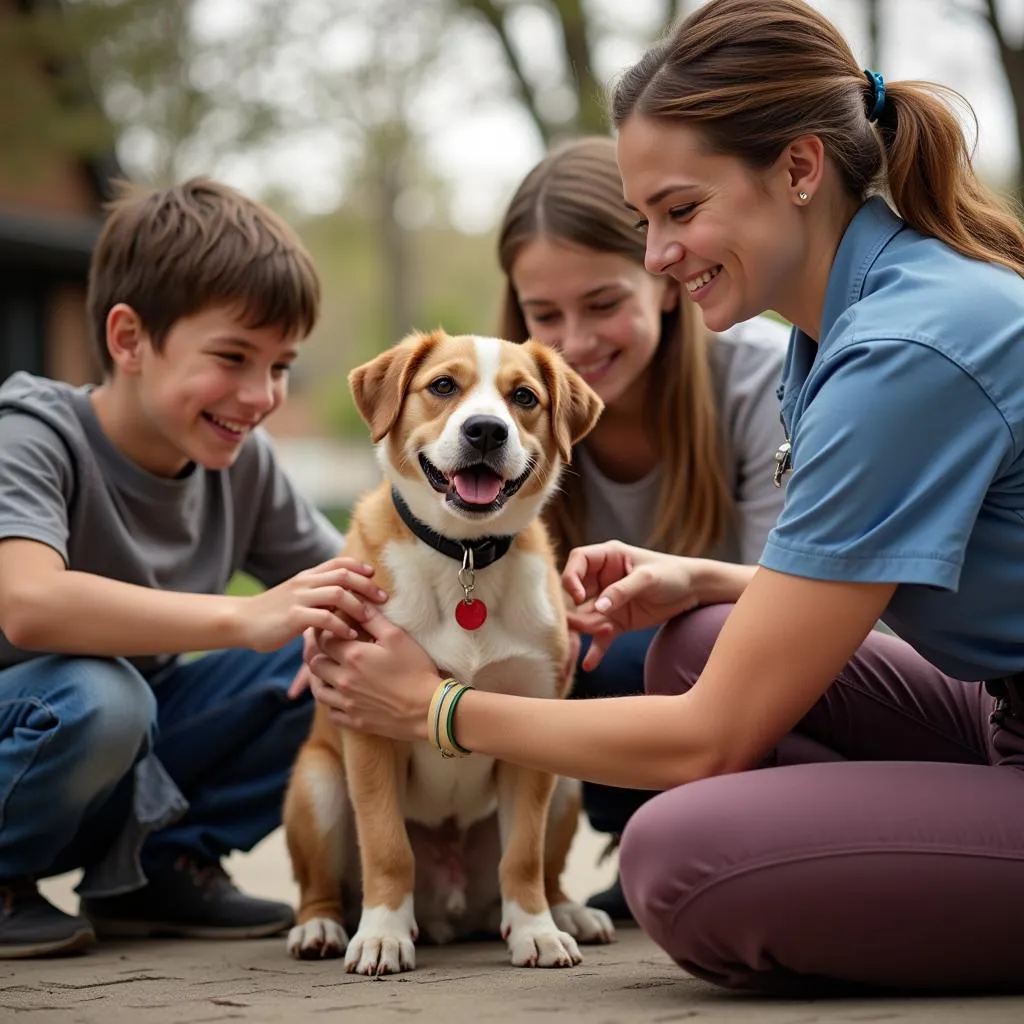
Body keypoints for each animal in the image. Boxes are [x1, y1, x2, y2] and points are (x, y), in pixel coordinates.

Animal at [284, 327, 610, 974]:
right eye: (442, 386)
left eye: (524, 397)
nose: (485, 430)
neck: (464, 557)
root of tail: (452, 913)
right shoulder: (368, 730)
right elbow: (387, 847)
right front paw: (382, 934)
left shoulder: (532, 728)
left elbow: (523, 855)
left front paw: (535, 930)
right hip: (318, 781)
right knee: (319, 885)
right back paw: (322, 927)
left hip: (566, 780)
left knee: (544, 869)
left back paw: (566, 913)